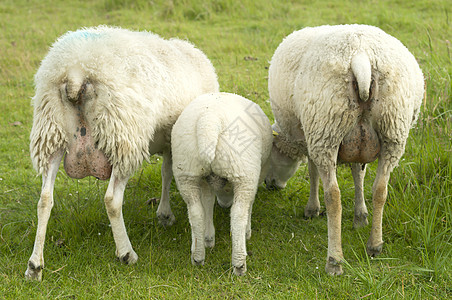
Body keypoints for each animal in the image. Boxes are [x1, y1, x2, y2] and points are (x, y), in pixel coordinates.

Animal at [24, 25, 219, 282]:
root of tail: (76, 70)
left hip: (51, 132)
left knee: (45, 198)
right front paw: (165, 214)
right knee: (112, 200)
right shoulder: (174, 141)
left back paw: (34, 265)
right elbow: (167, 173)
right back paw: (126, 253)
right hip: (123, 136)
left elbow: (166, 172)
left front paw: (164, 213)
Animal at [171, 92, 272, 276]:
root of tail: (209, 120)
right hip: (243, 172)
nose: (224, 203)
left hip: (187, 172)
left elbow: (208, 201)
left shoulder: (205, 180)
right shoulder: (258, 173)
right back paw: (239, 264)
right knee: (238, 214)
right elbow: (250, 204)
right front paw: (247, 231)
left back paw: (198, 256)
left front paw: (208, 237)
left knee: (195, 212)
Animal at [264, 24, 424, 276]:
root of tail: (361, 56)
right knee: (380, 189)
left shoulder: (309, 137)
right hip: (393, 129)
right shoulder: (359, 143)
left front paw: (312, 209)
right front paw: (361, 216)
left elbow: (312, 172)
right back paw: (374, 245)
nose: (269, 184)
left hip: (325, 126)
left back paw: (334, 260)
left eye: (273, 154)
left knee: (334, 196)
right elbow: (359, 174)